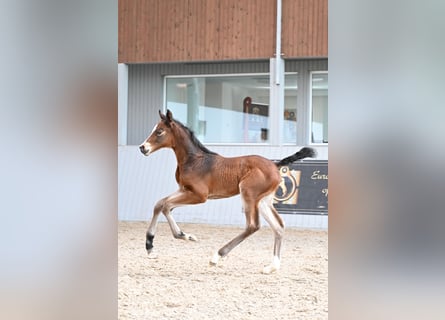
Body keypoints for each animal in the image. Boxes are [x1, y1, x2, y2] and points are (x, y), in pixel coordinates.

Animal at [139, 109, 316, 272]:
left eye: (159, 131)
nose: (142, 147)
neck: (194, 160)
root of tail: (275, 164)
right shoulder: (184, 190)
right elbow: (160, 204)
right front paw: (151, 247)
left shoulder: (199, 195)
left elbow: (166, 206)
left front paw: (183, 236)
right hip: (263, 201)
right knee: (278, 226)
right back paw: (272, 267)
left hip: (248, 194)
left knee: (253, 226)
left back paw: (217, 256)